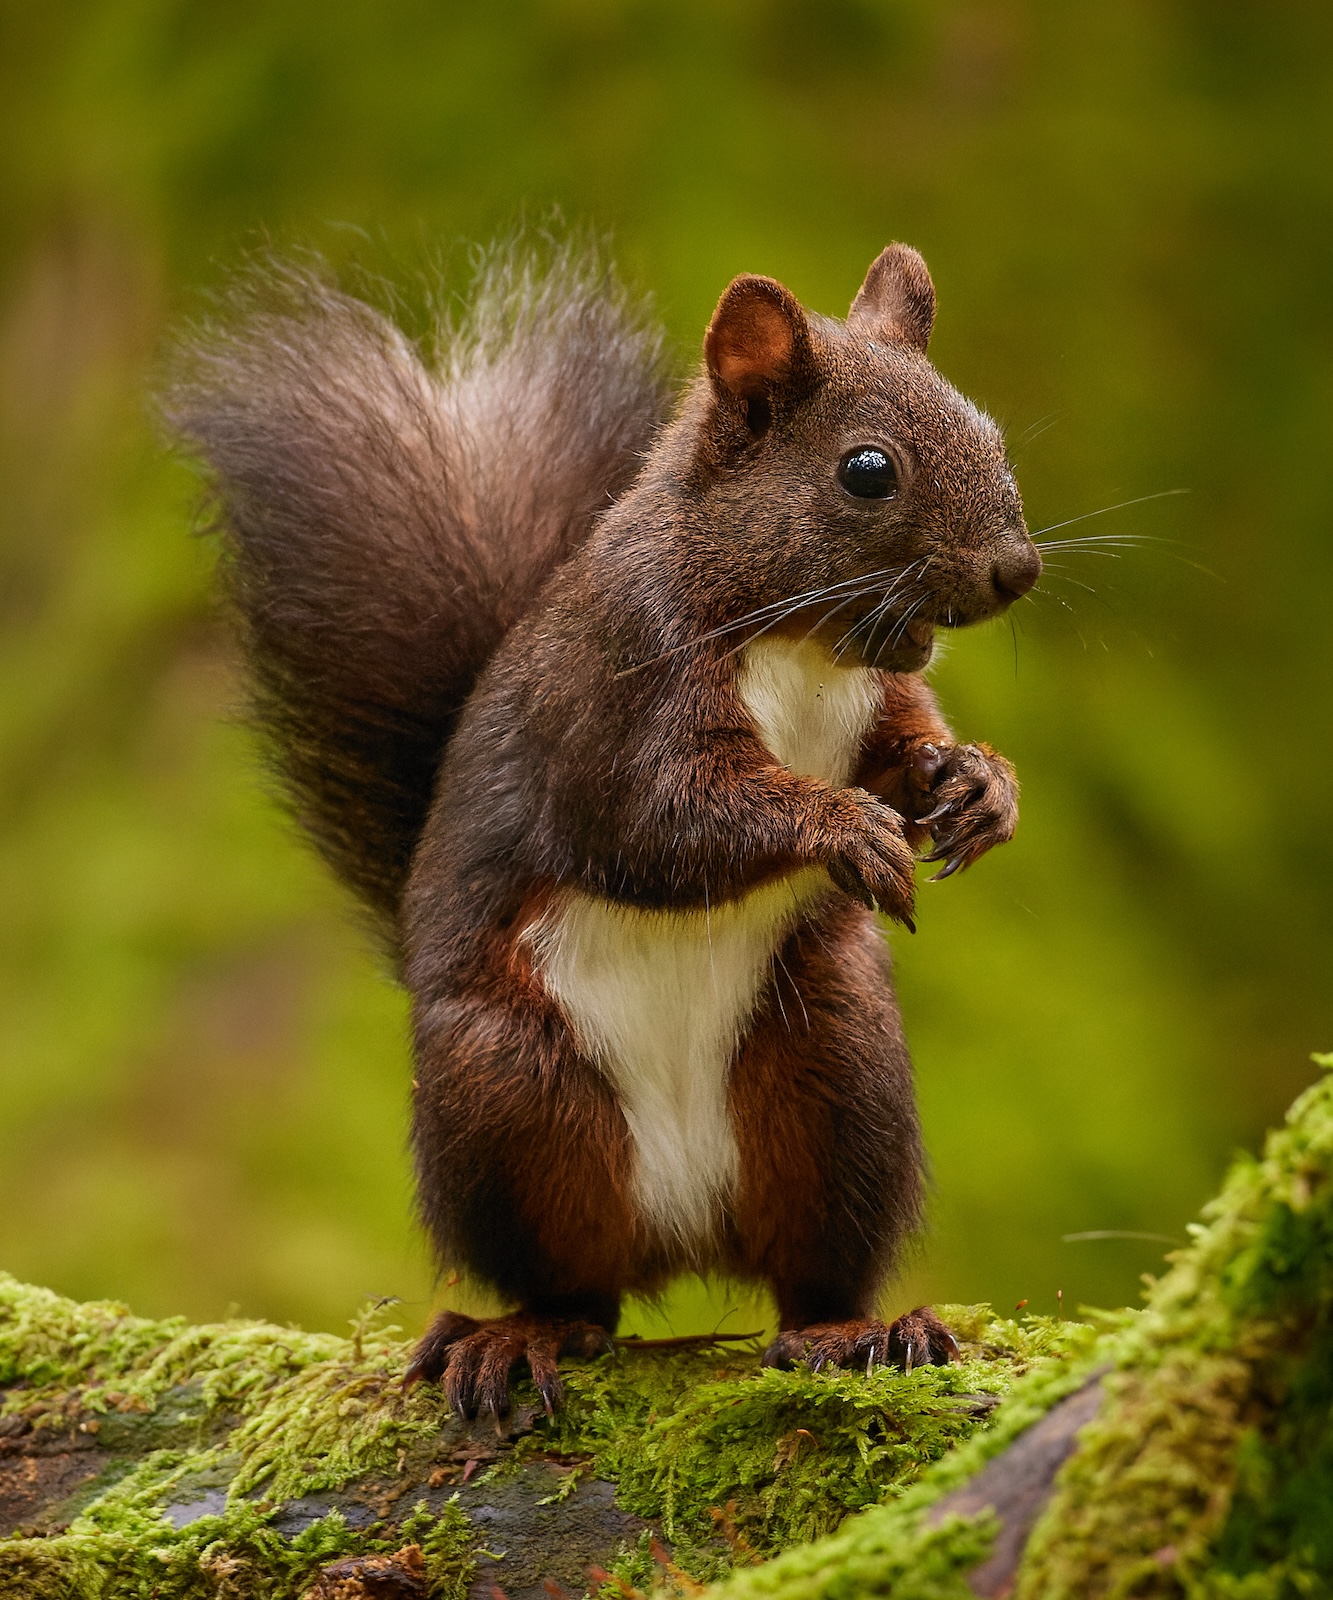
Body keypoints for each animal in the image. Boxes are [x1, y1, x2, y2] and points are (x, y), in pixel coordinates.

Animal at [166, 235, 1040, 1418]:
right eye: (867, 469)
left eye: (988, 429)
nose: (1017, 569)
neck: (800, 642)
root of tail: (683, 1229)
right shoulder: (616, 700)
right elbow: (663, 822)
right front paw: (842, 826)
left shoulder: (880, 705)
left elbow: (911, 748)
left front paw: (981, 787)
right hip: (509, 1096)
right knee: (573, 1287)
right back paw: (516, 1338)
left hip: (836, 1072)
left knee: (810, 1271)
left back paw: (859, 1331)